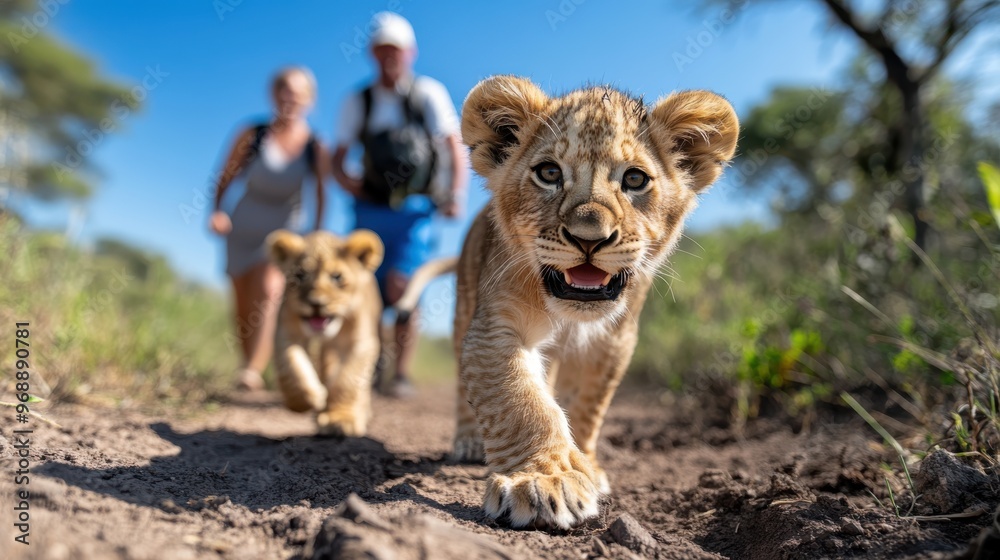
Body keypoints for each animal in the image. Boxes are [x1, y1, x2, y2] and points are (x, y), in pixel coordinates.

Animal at [452, 76, 739, 529]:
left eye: (635, 179)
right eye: (549, 173)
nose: (589, 238)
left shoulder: (614, 341)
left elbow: (588, 407)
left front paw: (583, 464)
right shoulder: (496, 325)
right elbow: (520, 402)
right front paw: (544, 481)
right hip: (465, 304)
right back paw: (466, 441)